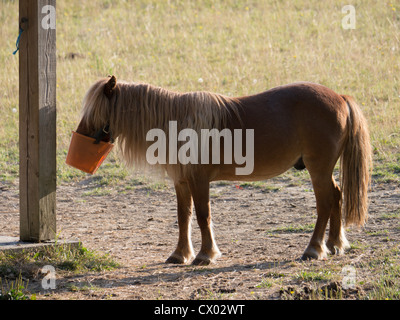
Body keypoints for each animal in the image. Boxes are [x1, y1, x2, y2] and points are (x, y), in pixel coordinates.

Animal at [75, 75, 372, 264]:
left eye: (95, 110)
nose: (80, 136)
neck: (177, 122)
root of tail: (340, 97)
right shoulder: (182, 182)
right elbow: (184, 217)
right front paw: (180, 255)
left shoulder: (199, 180)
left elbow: (203, 215)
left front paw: (205, 255)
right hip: (323, 171)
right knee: (336, 195)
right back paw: (335, 244)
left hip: (317, 169)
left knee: (325, 203)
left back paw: (314, 249)